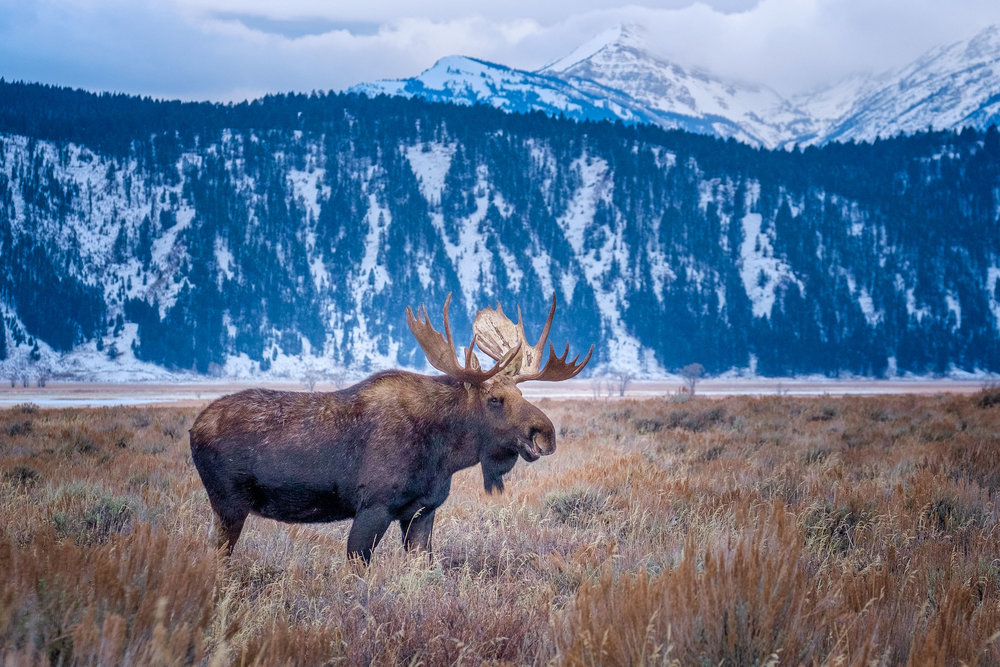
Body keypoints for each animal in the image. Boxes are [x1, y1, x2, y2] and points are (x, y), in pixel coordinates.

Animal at [191, 294, 588, 560]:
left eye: (521, 392)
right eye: (495, 399)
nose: (546, 433)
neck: (444, 455)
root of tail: (194, 429)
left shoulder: (422, 511)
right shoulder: (373, 507)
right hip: (228, 503)